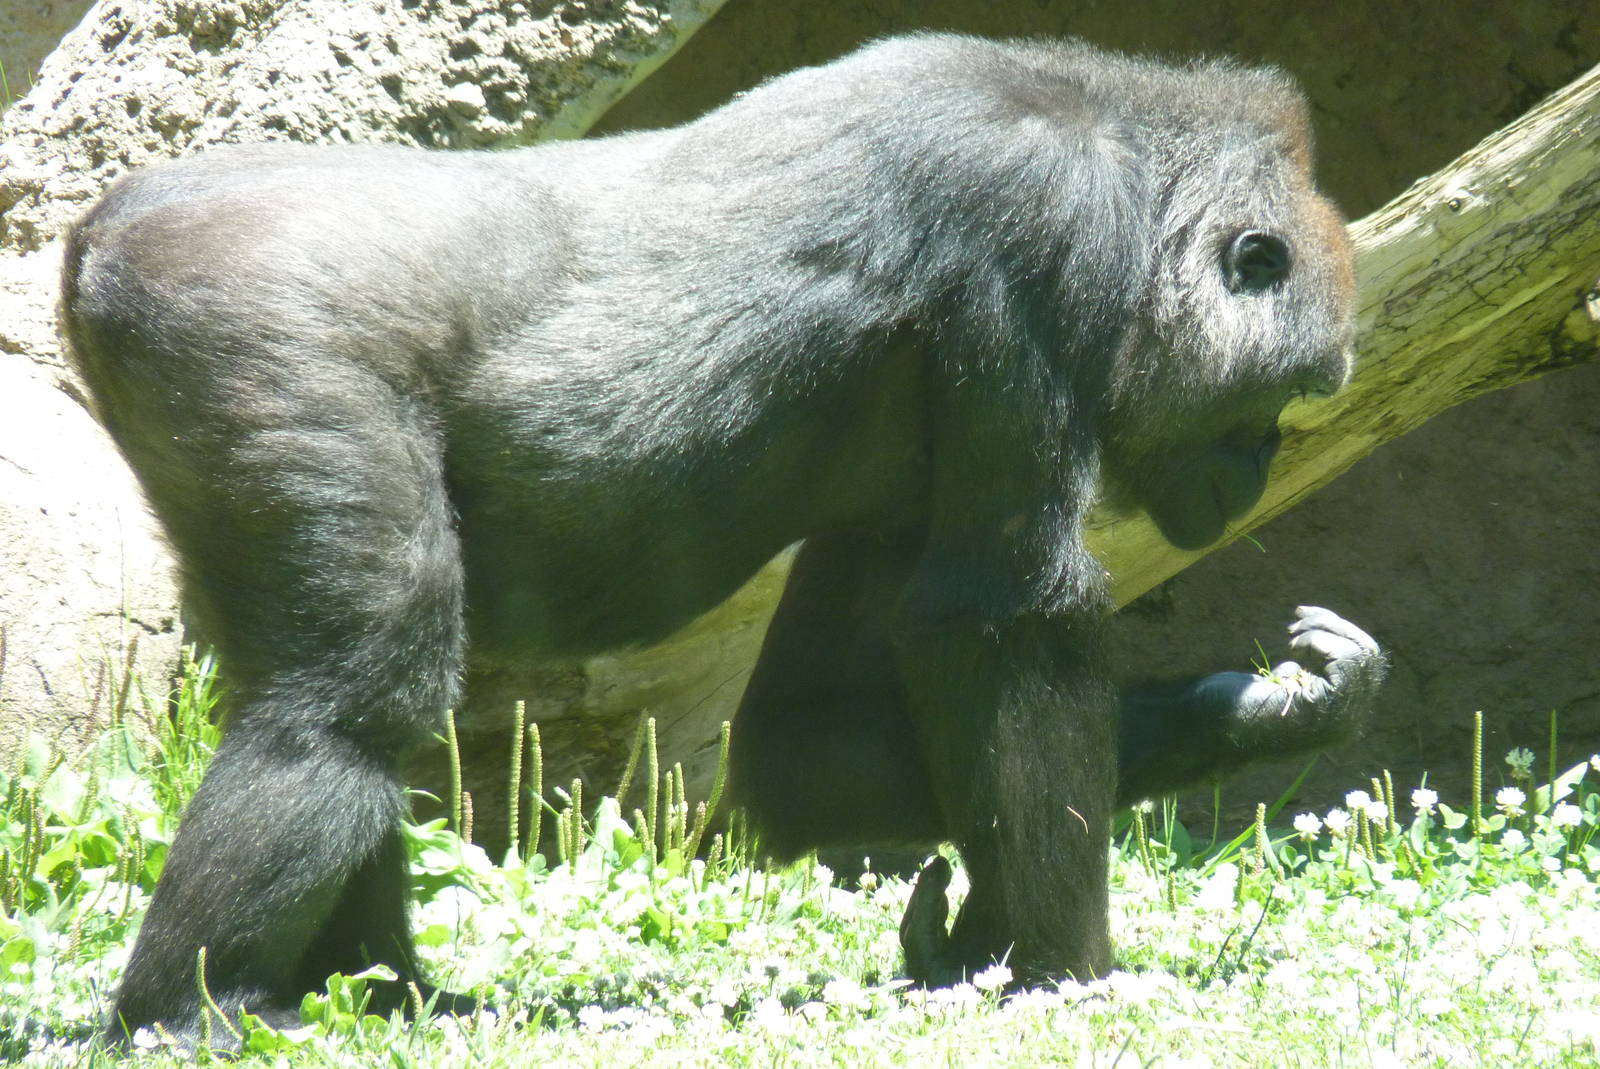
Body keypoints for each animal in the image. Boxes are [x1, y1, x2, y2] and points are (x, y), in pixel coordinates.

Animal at [60, 33, 1383, 1046]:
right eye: (1281, 399)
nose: (1251, 474)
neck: (1129, 151)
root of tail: (117, 217)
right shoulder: (1038, 226)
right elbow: (1005, 614)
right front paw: (1065, 972)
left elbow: (808, 745)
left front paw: (1262, 709)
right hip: (259, 328)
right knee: (345, 704)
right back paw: (186, 1010)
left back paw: (382, 990)